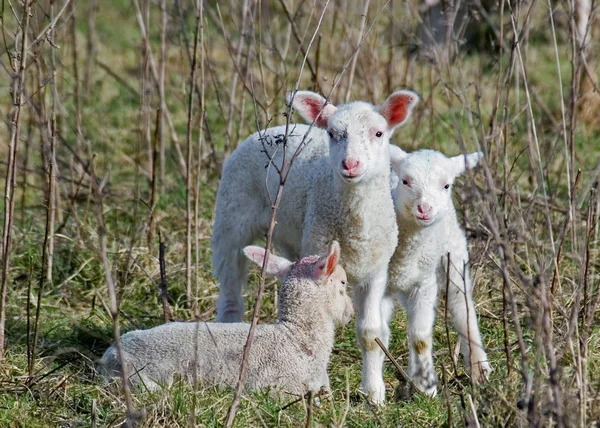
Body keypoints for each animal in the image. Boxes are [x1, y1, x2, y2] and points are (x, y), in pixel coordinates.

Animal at [213, 90, 420, 404]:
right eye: (333, 133)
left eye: (378, 133)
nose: (350, 164)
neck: (355, 226)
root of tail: (270, 130)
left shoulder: (376, 270)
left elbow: (370, 334)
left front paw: (373, 393)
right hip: (231, 217)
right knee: (230, 289)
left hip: (291, 237)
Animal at [386, 145, 494, 396]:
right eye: (405, 181)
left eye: (446, 185)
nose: (424, 208)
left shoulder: (425, 282)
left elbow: (421, 336)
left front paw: (426, 388)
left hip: (454, 250)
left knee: (461, 304)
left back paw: (479, 368)